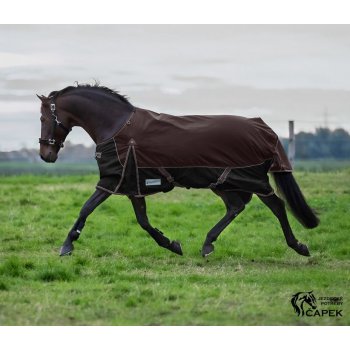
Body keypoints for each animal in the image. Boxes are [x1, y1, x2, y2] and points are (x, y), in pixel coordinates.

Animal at [37, 82, 318, 258]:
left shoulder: (111, 180)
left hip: (252, 180)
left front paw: (66, 246)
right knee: (236, 207)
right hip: (224, 183)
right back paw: (207, 245)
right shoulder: (132, 185)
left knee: (277, 206)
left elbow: (86, 208)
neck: (116, 128)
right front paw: (172, 244)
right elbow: (143, 221)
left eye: (43, 118)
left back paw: (299, 246)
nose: (45, 155)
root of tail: (263, 128)